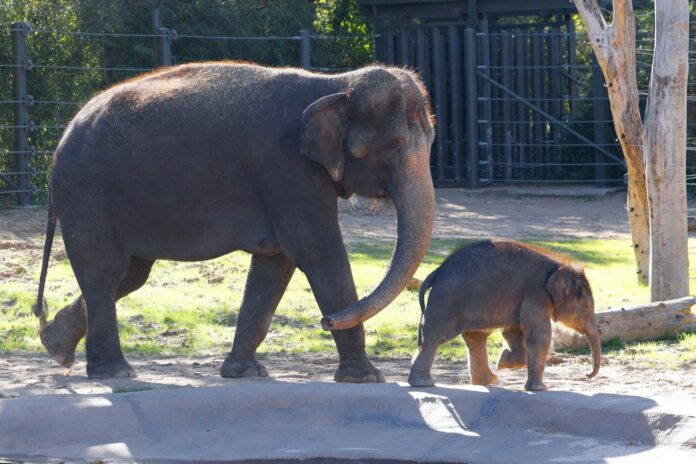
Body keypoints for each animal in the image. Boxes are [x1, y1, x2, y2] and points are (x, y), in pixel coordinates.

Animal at [32, 62, 436, 381]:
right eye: (393, 147)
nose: (326, 321)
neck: (333, 84)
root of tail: (60, 142)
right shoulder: (287, 169)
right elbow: (318, 253)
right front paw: (366, 378)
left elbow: (275, 265)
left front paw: (244, 373)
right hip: (88, 191)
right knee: (106, 271)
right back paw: (114, 372)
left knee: (129, 274)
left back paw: (56, 345)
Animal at [408, 239, 600, 391]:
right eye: (586, 306)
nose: (587, 376)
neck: (558, 266)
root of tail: (438, 271)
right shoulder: (536, 296)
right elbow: (539, 336)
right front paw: (540, 388)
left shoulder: (524, 299)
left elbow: (513, 332)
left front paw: (503, 361)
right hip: (445, 301)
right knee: (434, 338)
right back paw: (424, 384)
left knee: (475, 338)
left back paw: (488, 380)